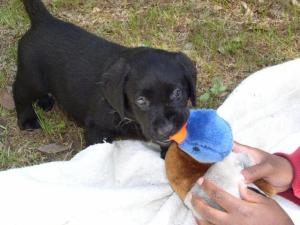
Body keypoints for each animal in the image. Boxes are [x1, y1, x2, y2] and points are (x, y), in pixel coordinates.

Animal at [13, 0, 197, 156]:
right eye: (141, 100)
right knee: (19, 92)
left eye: (177, 93)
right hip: (32, 79)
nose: (166, 129)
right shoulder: (96, 127)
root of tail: (45, 21)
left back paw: (45, 101)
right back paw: (27, 119)